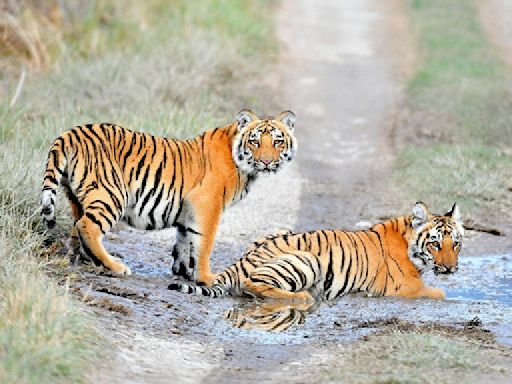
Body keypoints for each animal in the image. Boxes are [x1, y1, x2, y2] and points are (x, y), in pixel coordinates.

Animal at [40, 109, 298, 284]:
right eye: (255, 141)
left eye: (278, 141)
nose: (267, 161)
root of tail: (70, 133)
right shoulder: (207, 205)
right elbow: (205, 244)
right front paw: (206, 278)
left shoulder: (188, 210)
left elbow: (185, 240)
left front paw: (184, 271)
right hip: (111, 194)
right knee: (88, 227)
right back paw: (115, 265)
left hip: (77, 197)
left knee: (77, 226)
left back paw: (81, 257)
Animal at [169, 201, 464, 300]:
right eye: (435, 243)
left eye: (456, 243)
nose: (451, 268)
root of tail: (240, 261)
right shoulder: (406, 287)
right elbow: (439, 293)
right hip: (307, 259)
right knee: (253, 284)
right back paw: (303, 297)